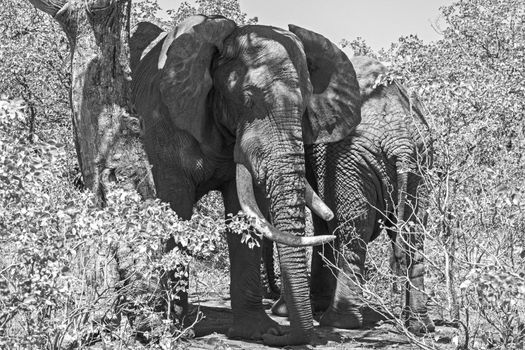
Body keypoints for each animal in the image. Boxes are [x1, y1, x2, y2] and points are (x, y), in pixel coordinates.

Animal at [128, 15, 362, 346]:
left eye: (305, 108)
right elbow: (175, 202)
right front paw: (171, 328)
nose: (282, 337)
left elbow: (242, 209)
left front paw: (257, 330)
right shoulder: (163, 119)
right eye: (248, 101)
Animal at [270, 55, 434, 334]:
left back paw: (338, 322)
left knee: (353, 228)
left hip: (351, 158)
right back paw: (419, 326)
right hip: (419, 163)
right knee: (414, 230)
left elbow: (324, 219)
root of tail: (401, 141)